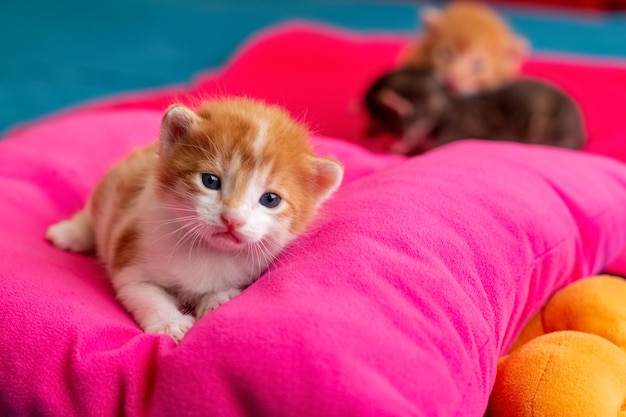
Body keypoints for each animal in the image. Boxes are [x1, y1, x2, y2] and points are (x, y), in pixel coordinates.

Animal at [46, 97, 344, 342]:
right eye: (210, 181)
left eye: (270, 199)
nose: (232, 219)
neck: (208, 251)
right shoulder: (130, 251)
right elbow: (143, 292)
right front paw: (170, 324)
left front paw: (218, 300)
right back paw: (70, 233)